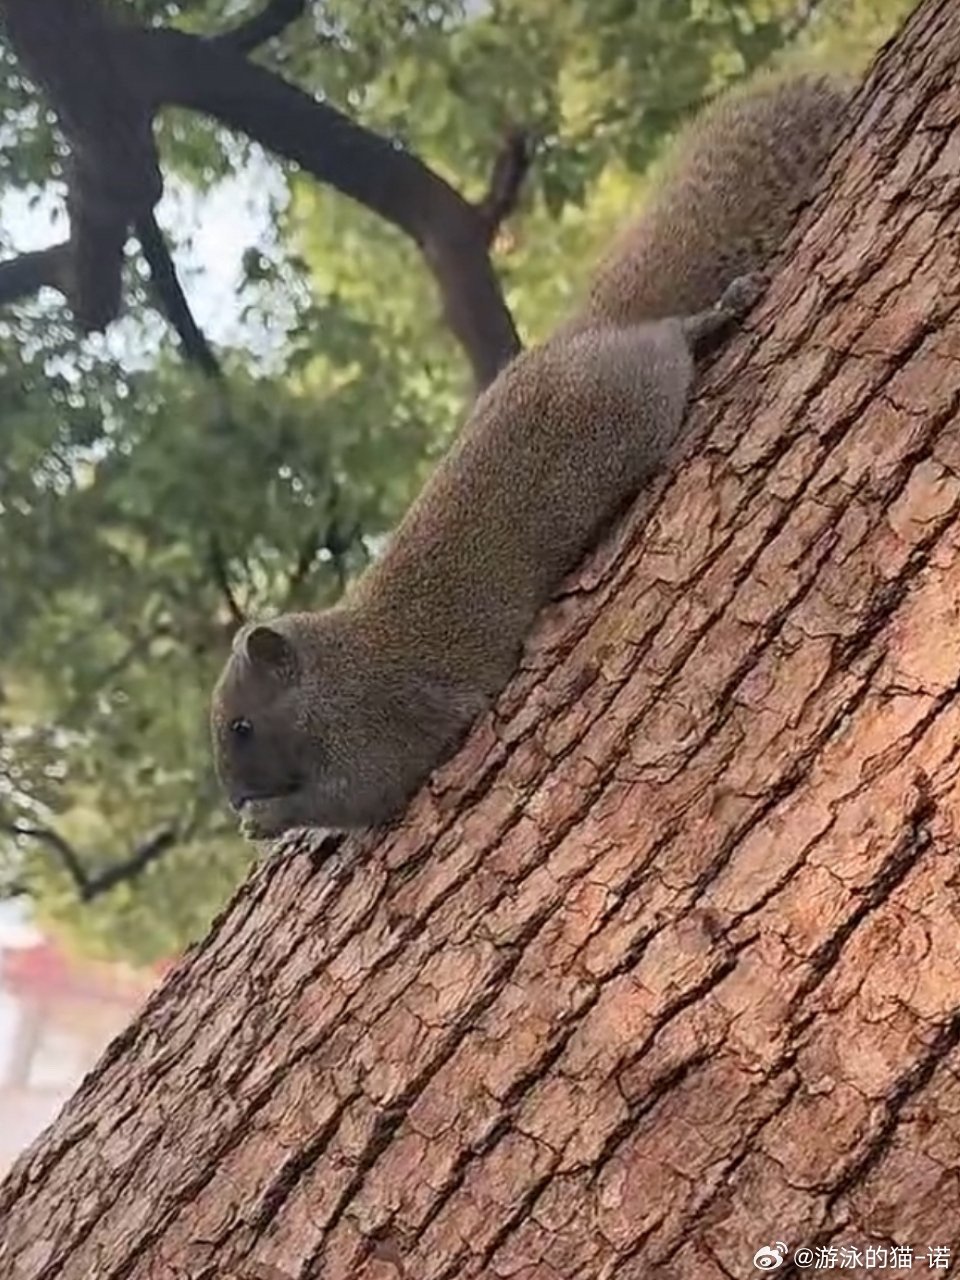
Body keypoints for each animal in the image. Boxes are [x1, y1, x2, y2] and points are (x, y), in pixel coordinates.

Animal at [209, 70, 849, 839]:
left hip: (630, 398)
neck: (331, 672)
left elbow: (361, 791)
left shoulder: (381, 721)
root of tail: (587, 332)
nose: (234, 798)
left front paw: (271, 818)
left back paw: (714, 313)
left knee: (667, 342)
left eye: (242, 727)